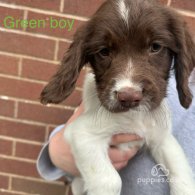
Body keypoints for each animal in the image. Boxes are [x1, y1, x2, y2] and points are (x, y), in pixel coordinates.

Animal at [40, 0, 195, 195]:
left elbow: (181, 172)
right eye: (104, 51)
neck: (135, 117)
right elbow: (110, 180)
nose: (129, 97)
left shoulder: (161, 137)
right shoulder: (82, 134)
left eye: (155, 47)